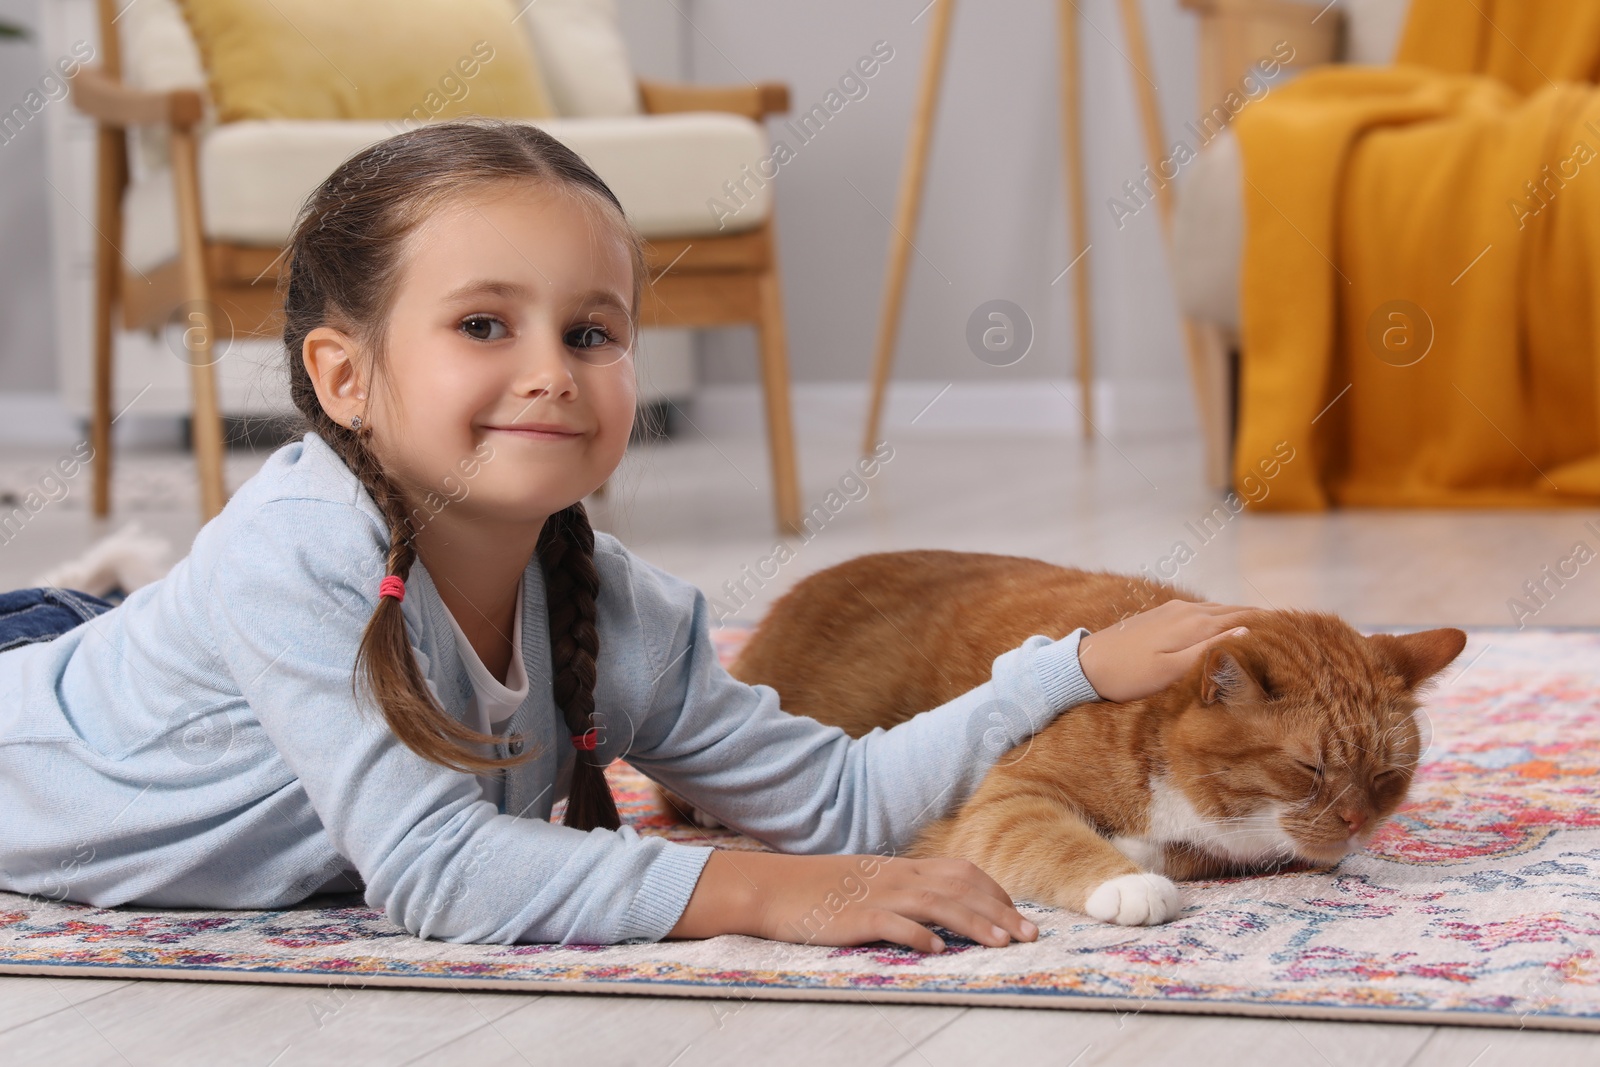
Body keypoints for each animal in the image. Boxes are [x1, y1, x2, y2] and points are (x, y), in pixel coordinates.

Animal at [656, 556, 1465, 921]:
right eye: (1308, 767)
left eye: (1388, 775)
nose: (1356, 822)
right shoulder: (1009, 799)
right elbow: (1056, 839)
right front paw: (1129, 880)